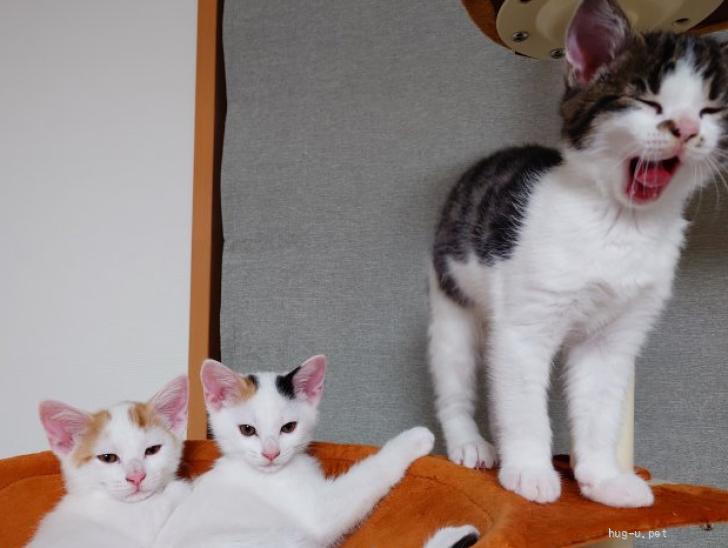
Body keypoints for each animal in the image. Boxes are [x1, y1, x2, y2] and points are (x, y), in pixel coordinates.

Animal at [154, 356, 478, 548]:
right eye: (247, 430)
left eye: (288, 427)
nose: (271, 453)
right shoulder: (319, 513)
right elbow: (369, 475)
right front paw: (414, 438)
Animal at [428, 0, 728, 507]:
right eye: (647, 100)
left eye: (710, 109)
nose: (687, 129)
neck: (620, 226)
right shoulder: (524, 327)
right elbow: (523, 403)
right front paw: (529, 471)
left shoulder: (614, 339)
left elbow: (600, 408)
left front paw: (604, 479)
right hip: (451, 301)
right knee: (455, 378)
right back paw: (469, 443)